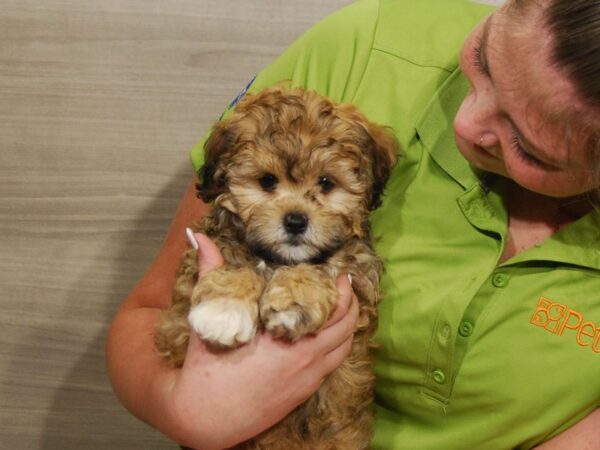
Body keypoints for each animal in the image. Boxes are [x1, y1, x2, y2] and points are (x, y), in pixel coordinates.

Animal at [155, 86, 398, 448]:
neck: (276, 258)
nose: (296, 221)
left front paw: (294, 300)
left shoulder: (358, 275)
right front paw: (223, 310)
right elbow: (233, 260)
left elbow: (324, 267)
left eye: (325, 183)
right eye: (267, 181)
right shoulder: (177, 328)